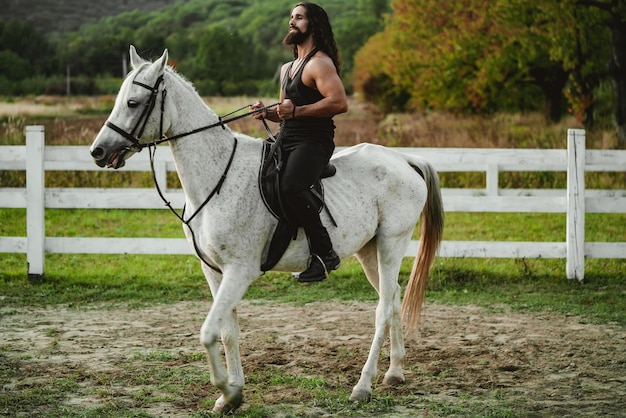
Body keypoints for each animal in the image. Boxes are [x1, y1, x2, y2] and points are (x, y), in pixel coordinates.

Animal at [90, 47, 442, 414]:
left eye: (133, 103)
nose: (98, 151)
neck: (218, 178)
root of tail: (403, 160)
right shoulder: (213, 271)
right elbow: (227, 332)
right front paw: (231, 395)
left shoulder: (240, 271)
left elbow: (208, 332)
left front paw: (229, 392)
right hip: (369, 251)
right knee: (394, 298)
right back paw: (395, 372)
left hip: (391, 244)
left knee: (383, 309)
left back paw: (363, 385)